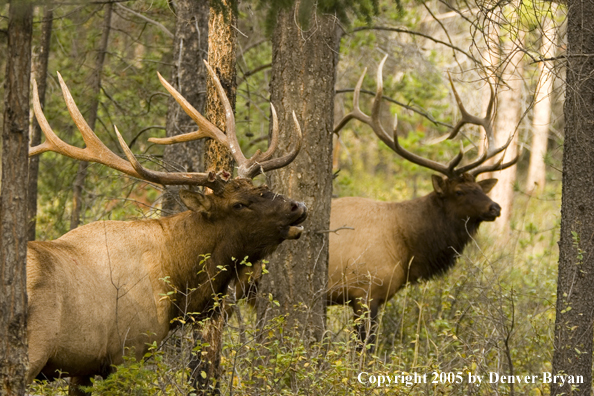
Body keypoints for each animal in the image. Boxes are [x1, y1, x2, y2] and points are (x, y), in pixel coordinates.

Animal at [26, 60, 308, 394]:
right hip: (33, 351)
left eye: (260, 187)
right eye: (238, 204)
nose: (297, 207)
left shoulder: (83, 366)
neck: (177, 280)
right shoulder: (129, 351)